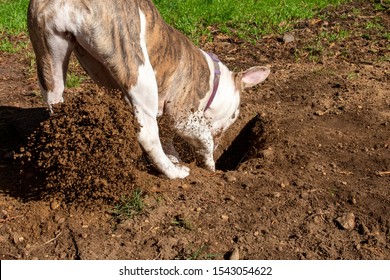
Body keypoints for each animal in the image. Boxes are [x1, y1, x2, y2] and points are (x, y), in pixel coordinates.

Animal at [28, 0, 272, 178]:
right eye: (236, 115)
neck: (214, 78)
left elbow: (169, 139)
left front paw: (175, 157)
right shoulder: (183, 118)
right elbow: (204, 139)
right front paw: (209, 164)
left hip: (50, 59)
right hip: (138, 70)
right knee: (147, 136)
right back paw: (174, 173)